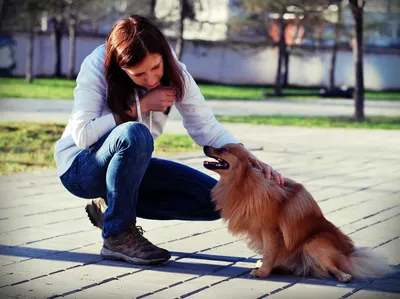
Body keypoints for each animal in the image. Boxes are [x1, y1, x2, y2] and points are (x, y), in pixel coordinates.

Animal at [205, 144, 392, 282]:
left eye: (224, 149)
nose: (206, 146)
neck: (244, 182)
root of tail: (349, 255)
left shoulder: (270, 230)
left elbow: (269, 252)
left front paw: (263, 272)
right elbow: (269, 253)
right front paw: (265, 267)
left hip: (313, 244)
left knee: (335, 268)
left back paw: (344, 276)